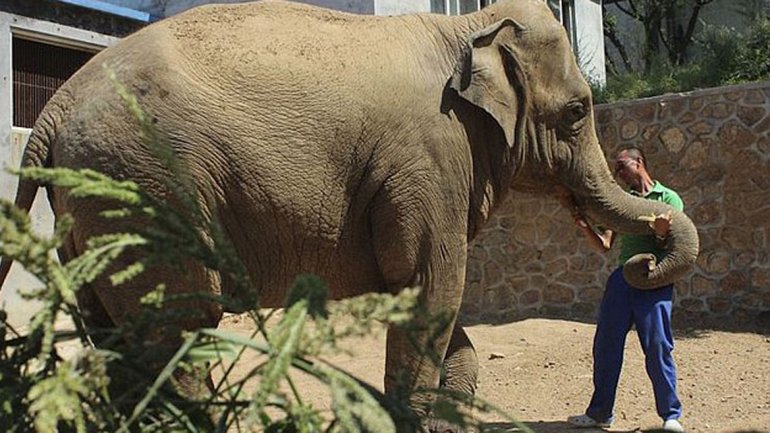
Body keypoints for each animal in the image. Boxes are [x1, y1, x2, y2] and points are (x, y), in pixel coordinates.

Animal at [0, 0, 696, 426]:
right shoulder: (430, 159)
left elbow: (437, 306)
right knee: (179, 325)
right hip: (146, 188)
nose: (654, 238)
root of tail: (54, 106)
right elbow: (432, 288)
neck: (469, 26)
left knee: (120, 334)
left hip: (97, 209)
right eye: (578, 111)